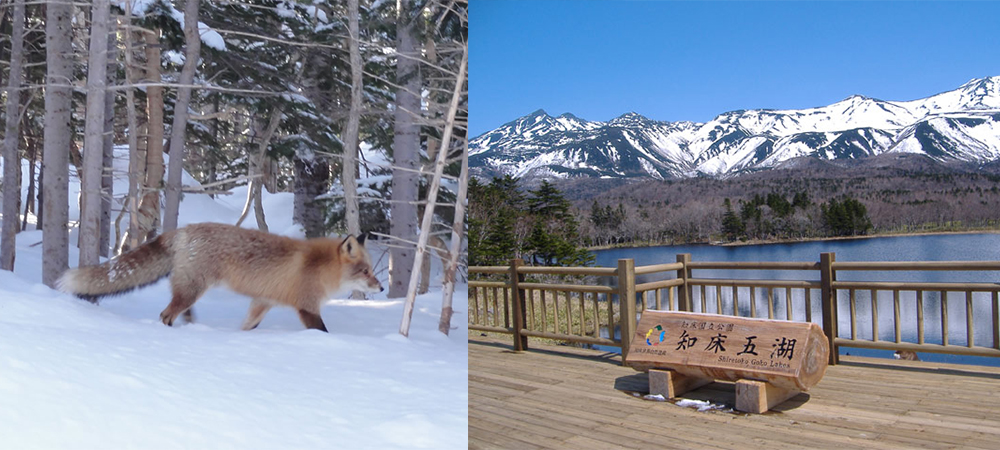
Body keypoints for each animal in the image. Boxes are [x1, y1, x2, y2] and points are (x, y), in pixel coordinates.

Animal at [55, 223, 382, 332]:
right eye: (366, 271)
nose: (379, 287)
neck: (321, 267)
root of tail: (184, 229)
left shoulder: (262, 302)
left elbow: (247, 327)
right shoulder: (307, 307)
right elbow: (323, 332)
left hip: (190, 290)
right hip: (192, 289)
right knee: (165, 315)